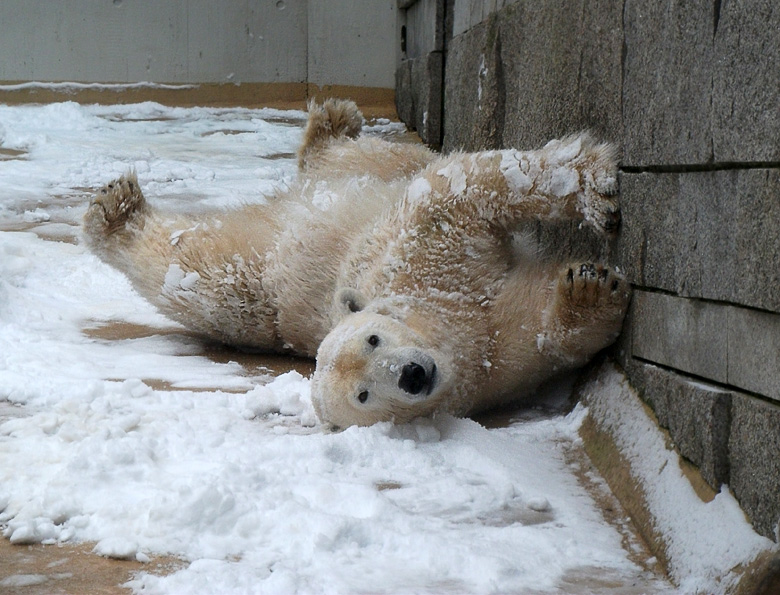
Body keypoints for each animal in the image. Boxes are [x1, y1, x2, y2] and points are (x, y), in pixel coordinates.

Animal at [82, 100, 632, 430]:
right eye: (364, 396)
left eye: (373, 337)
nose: (413, 374)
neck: (451, 326)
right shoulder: (491, 359)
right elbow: (545, 328)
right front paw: (589, 289)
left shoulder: (428, 262)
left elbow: (460, 193)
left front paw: (594, 188)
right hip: (265, 287)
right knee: (203, 282)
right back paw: (114, 213)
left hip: (353, 189)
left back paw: (331, 123)